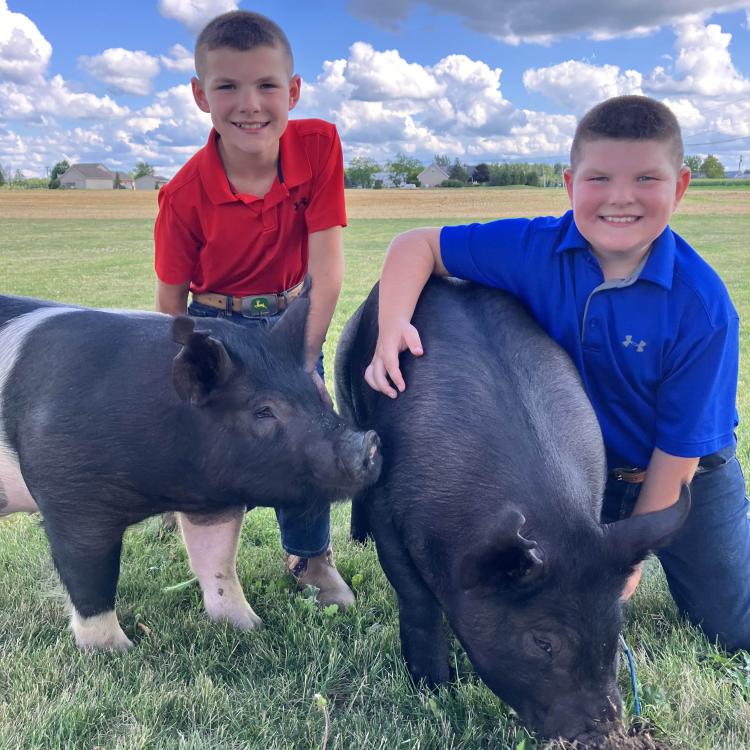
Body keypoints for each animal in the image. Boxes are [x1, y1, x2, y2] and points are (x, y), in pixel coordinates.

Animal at [0, 288, 382, 652]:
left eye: (317, 396)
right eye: (263, 410)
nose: (370, 441)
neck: (165, 487)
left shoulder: (212, 501)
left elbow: (217, 562)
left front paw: (248, 626)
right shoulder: (70, 497)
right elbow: (89, 575)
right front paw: (115, 651)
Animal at [338, 280, 692, 744]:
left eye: (615, 629)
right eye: (543, 642)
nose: (604, 733)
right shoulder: (388, 515)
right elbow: (417, 601)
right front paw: (433, 689)